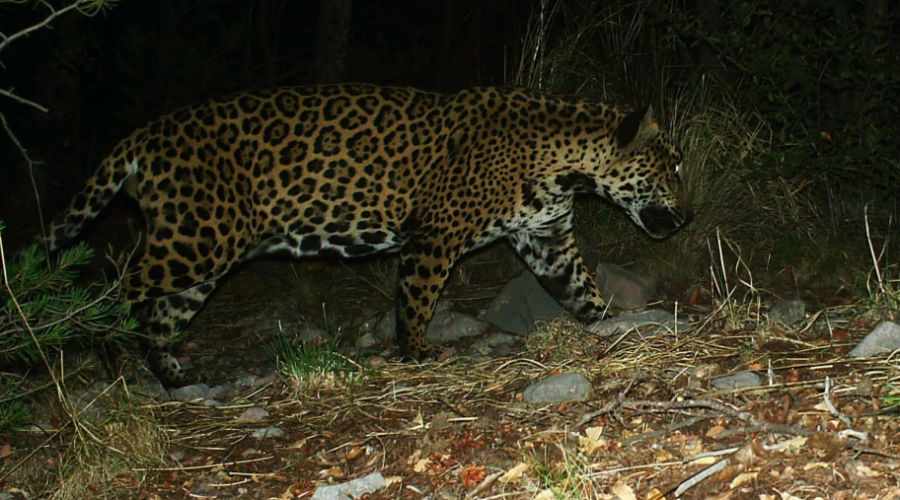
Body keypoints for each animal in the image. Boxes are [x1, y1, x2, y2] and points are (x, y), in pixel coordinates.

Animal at [47, 84, 689, 386]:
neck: (566, 162)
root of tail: (145, 135)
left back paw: (177, 377)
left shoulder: (547, 237)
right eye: (674, 164)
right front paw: (417, 352)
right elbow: (418, 298)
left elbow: (582, 290)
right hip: (197, 238)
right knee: (114, 286)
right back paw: (102, 351)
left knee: (161, 315)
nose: (687, 217)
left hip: (201, 253)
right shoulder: (436, 236)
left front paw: (612, 323)